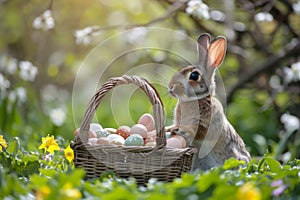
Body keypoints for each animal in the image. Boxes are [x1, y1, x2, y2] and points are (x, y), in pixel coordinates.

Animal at [169, 33, 251, 170]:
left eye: (194, 76)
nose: (170, 87)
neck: (195, 99)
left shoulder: (210, 122)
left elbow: (199, 131)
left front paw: (182, 131)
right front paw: (169, 128)